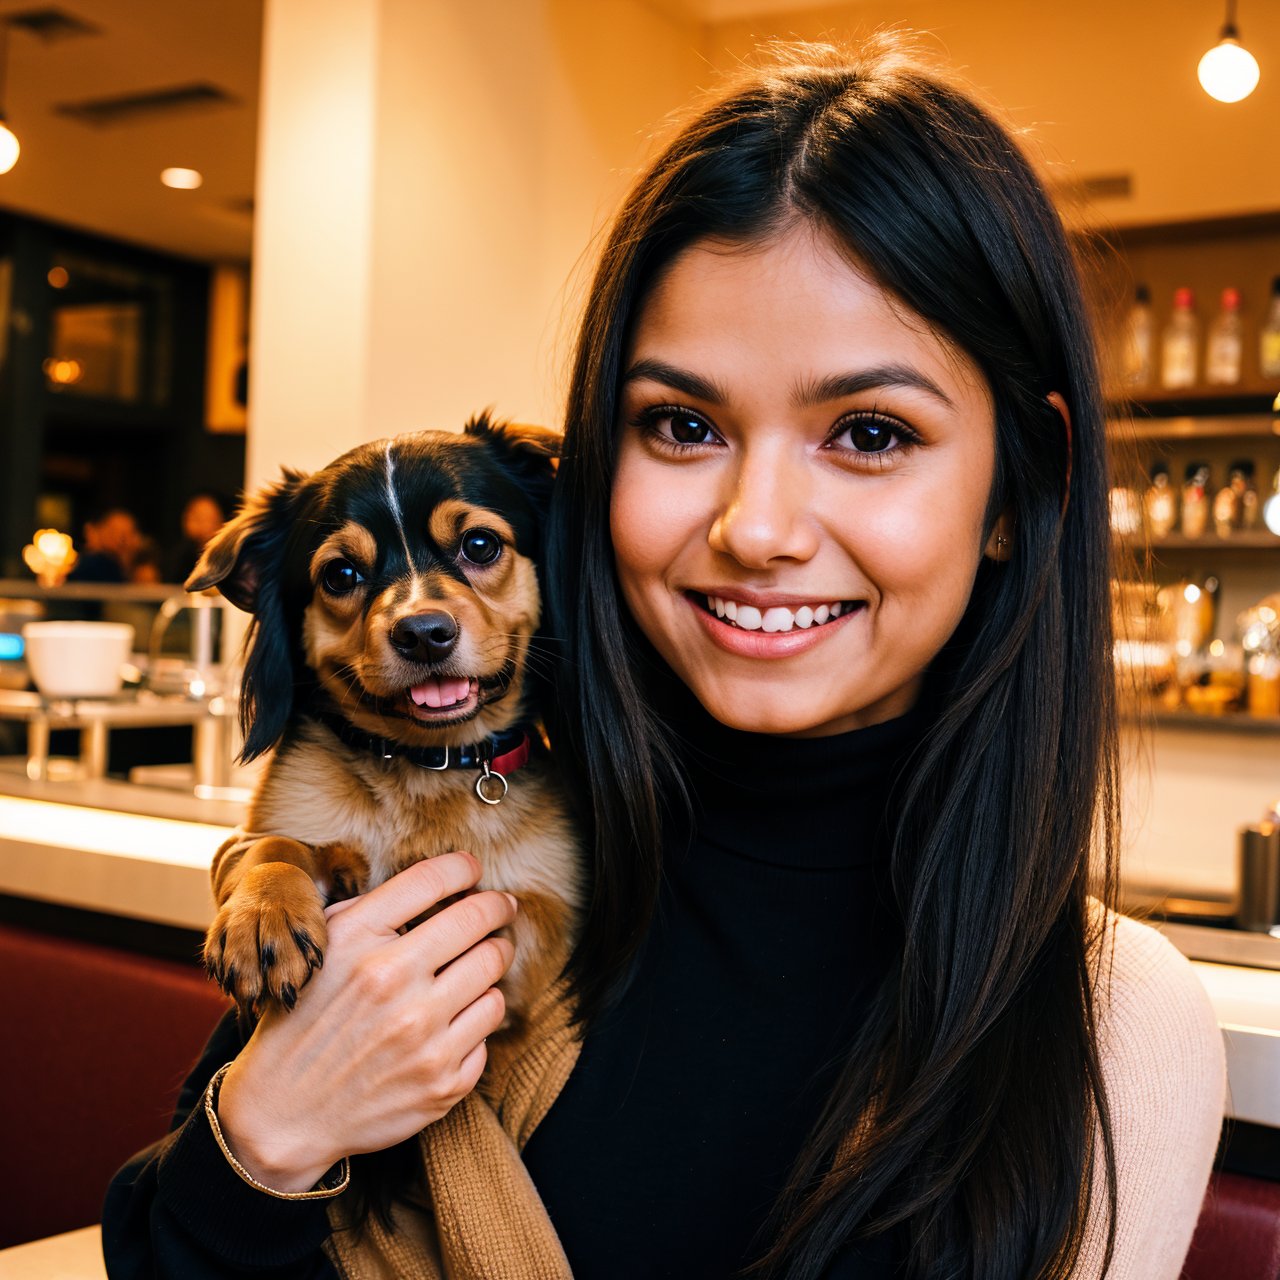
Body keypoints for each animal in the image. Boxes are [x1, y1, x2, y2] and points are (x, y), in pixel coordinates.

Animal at [186, 412, 583, 1059]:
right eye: (341, 574)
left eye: (480, 545)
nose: (422, 632)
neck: (427, 764)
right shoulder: (254, 837)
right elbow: (275, 848)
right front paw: (264, 917)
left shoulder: (542, 920)